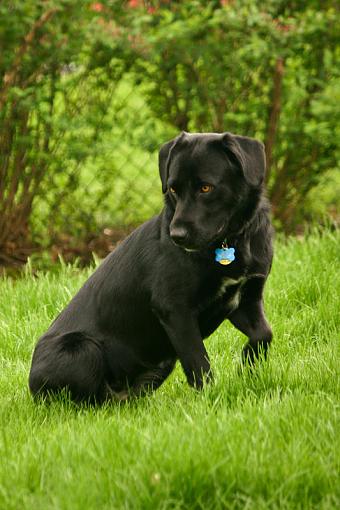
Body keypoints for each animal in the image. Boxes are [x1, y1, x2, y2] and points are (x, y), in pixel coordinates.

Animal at [29, 131, 274, 402]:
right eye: (174, 189)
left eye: (206, 188)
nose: (176, 236)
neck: (230, 242)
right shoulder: (175, 309)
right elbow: (198, 362)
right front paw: (210, 399)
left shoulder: (246, 299)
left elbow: (264, 335)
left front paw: (248, 368)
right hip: (83, 349)